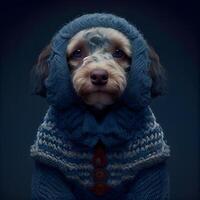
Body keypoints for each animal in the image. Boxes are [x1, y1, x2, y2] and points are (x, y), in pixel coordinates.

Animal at [30, 12, 170, 200]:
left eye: (119, 53)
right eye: (77, 53)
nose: (98, 76)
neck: (99, 115)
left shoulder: (150, 171)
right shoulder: (50, 171)